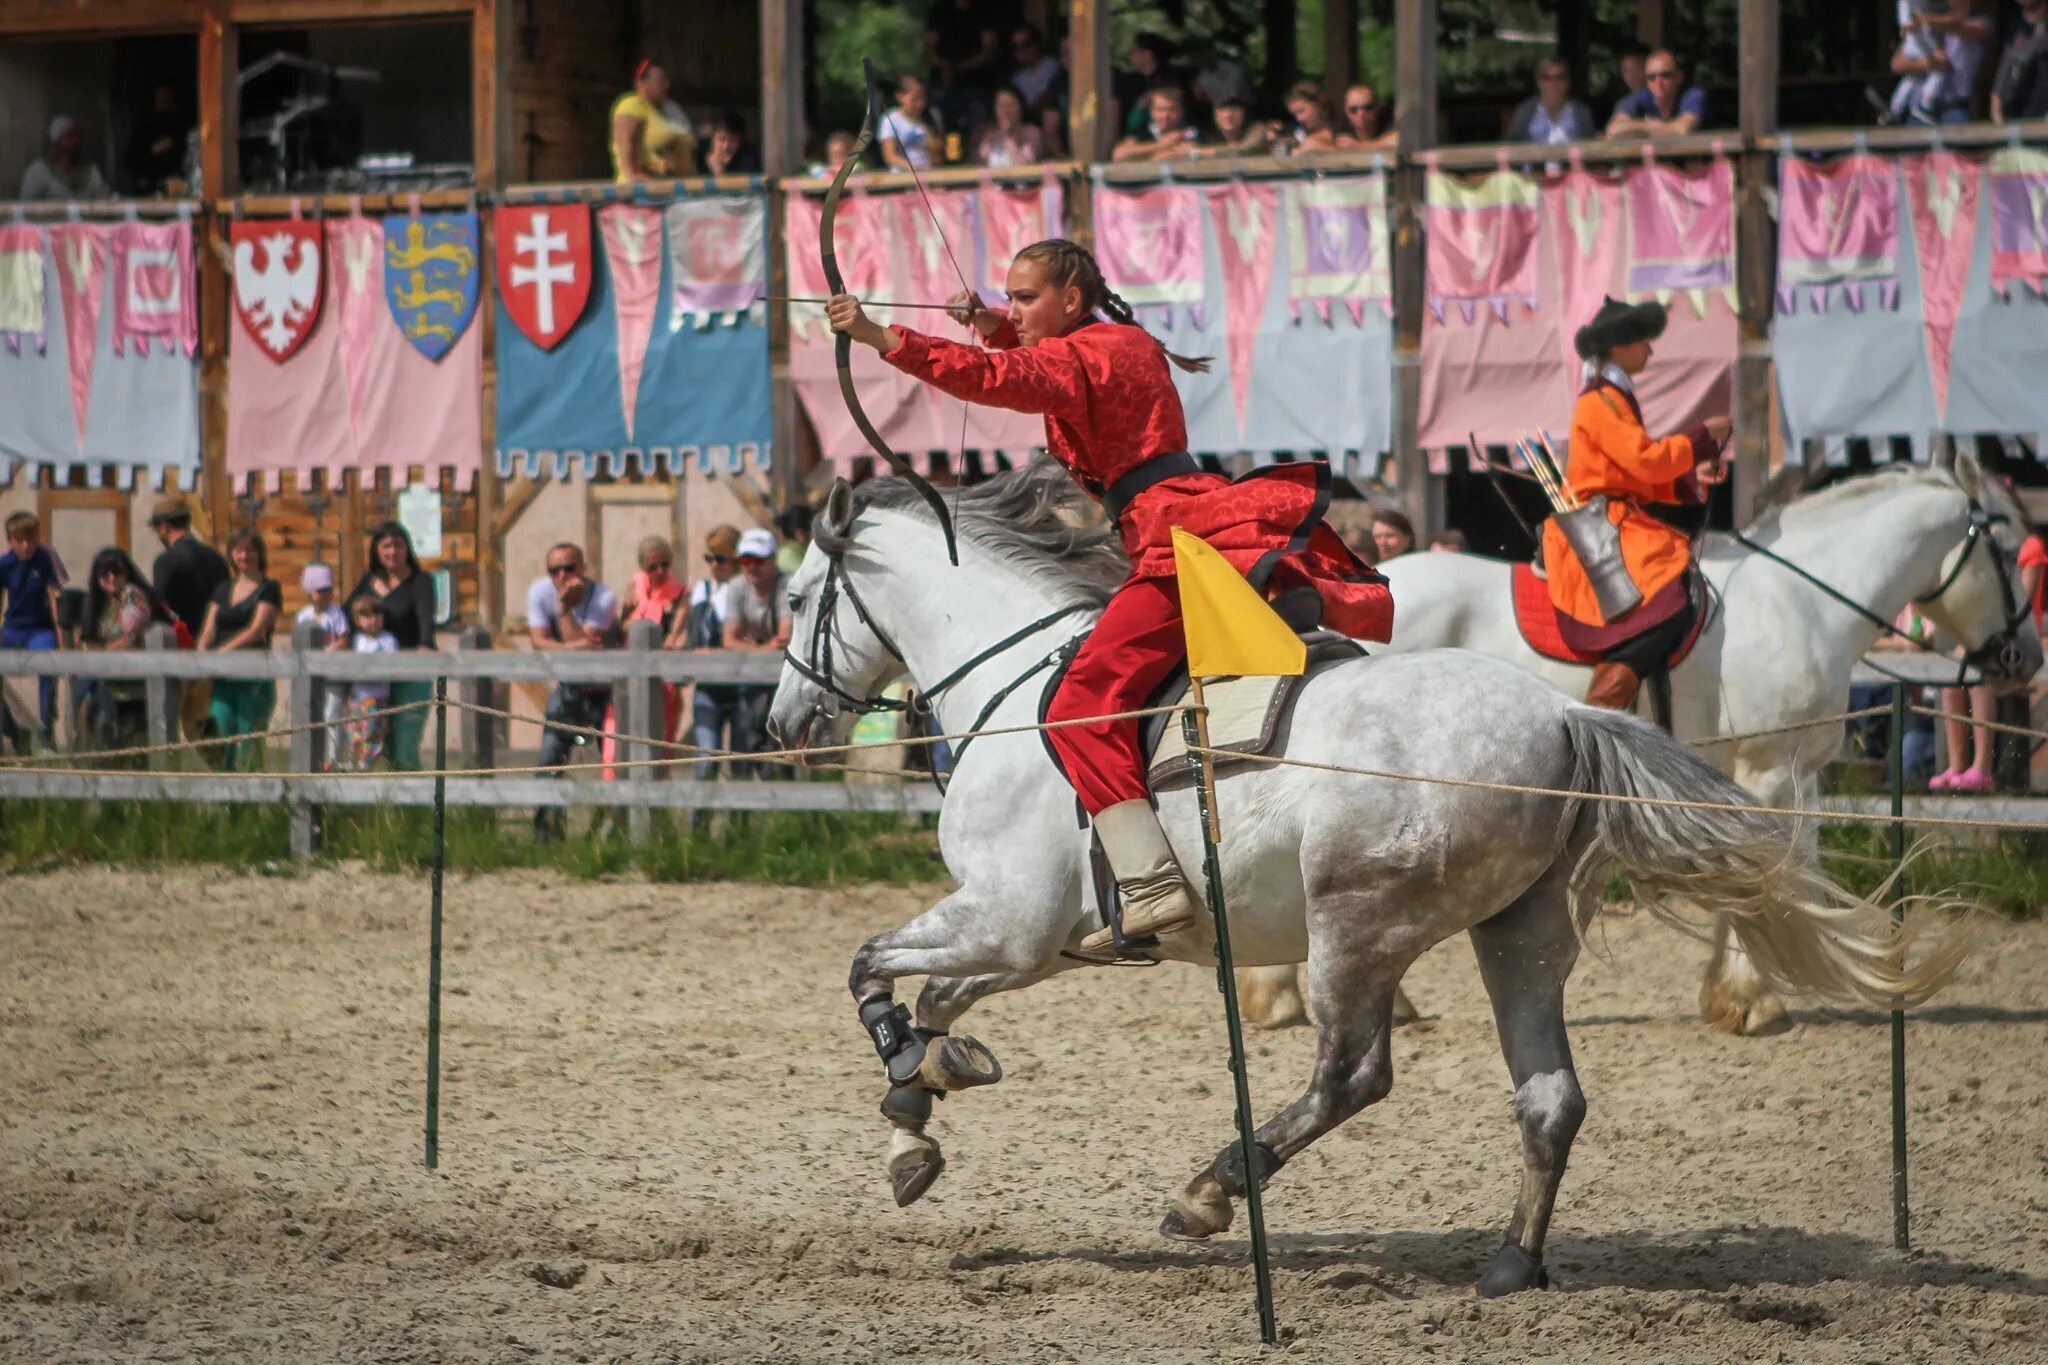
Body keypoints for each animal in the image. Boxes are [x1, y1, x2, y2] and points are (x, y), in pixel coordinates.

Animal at [765, 464, 1966, 1301]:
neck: (1016, 688)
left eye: (794, 594)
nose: (781, 721)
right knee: (1549, 1096)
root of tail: (1564, 713)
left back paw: (1210, 1192)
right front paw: (924, 1102)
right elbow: (926, 1000)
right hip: (1517, 936)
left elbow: (869, 970)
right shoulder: (1031, 946)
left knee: (1351, 1076)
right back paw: (1509, 1264)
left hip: (1354, 930)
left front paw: (912, 1101)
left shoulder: (1005, 924)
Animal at [1236, 450, 2039, 1035]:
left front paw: (1733, 989)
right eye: (2006, 545)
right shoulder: (1773, 767)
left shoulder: (1771, 773)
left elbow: (1758, 867)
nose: (2022, 657)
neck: (1800, 603)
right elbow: (1775, 865)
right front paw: (1754, 998)